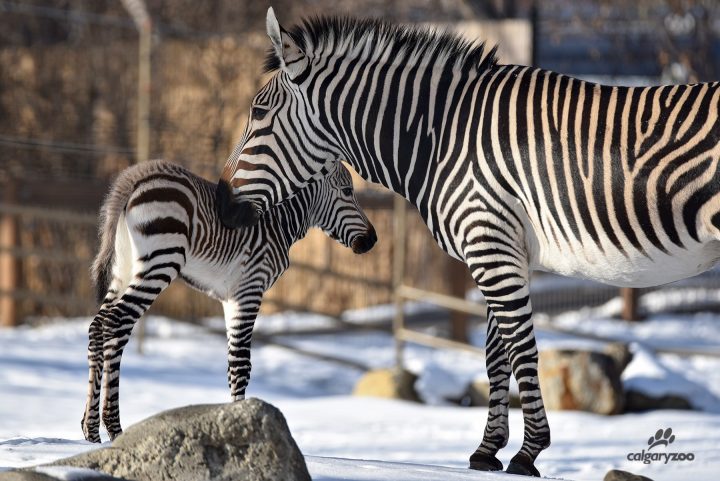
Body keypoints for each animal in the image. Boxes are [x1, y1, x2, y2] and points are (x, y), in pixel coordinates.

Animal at [81, 159, 376, 443]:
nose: (372, 240)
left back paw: (92, 430)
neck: (278, 221)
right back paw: (114, 427)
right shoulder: (250, 288)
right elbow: (242, 364)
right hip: (161, 260)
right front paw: (244, 427)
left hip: (124, 268)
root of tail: (136, 176)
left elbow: (232, 365)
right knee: (116, 323)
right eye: (347, 191)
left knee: (100, 327)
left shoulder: (230, 298)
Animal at [215, 8, 720, 477]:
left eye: (258, 113)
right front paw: (487, 452)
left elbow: (521, 349)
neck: (441, 138)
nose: (221, 204)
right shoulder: (504, 249)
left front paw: (528, 453)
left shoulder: (489, 241)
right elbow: (496, 353)